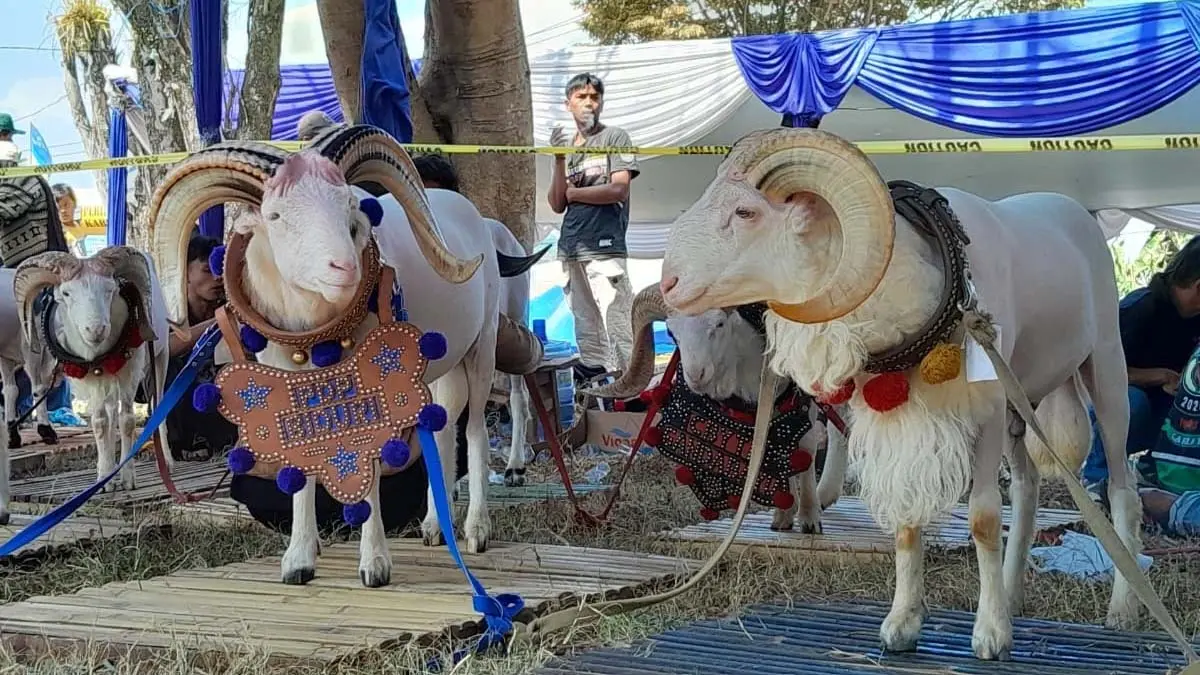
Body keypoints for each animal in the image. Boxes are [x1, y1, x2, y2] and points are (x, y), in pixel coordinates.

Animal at [11, 248, 174, 498]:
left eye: (110, 290)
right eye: (66, 293)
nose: (96, 330)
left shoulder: (130, 372)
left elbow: (127, 421)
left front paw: (128, 479)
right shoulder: (91, 379)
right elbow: (99, 423)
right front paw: (104, 479)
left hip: (160, 358)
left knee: (158, 405)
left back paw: (166, 460)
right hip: (108, 381)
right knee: (110, 414)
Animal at [146, 128, 542, 587]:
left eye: (351, 209)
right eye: (275, 216)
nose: (345, 268)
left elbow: (367, 467)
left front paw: (374, 566)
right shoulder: (289, 390)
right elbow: (301, 468)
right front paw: (299, 561)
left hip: (482, 348)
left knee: (476, 430)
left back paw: (477, 529)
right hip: (436, 369)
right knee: (442, 432)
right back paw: (432, 528)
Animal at [588, 285, 848, 533]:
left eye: (719, 323)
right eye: (671, 333)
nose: (696, 375)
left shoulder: (802, 402)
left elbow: (806, 450)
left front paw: (809, 518)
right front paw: (783, 514)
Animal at [658, 127, 1141, 660]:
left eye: (746, 212)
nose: (668, 283)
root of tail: (1072, 208)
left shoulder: (987, 407)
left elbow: (984, 518)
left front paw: (989, 635)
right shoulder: (900, 414)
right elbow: (908, 520)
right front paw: (903, 625)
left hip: (1104, 368)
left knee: (1121, 490)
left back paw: (1121, 611)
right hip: (1022, 397)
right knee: (1029, 486)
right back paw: (1012, 596)